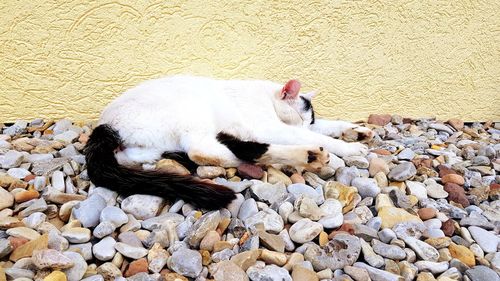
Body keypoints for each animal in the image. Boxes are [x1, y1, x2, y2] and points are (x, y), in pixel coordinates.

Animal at [84, 74, 372, 208]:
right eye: (300, 116)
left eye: (307, 119)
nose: (304, 123)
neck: (265, 96)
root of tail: (105, 124)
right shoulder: (269, 126)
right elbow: (317, 136)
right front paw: (350, 147)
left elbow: (328, 126)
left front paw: (358, 131)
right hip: (193, 111)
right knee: (201, 152)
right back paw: (307, 155)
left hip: (145, 150)